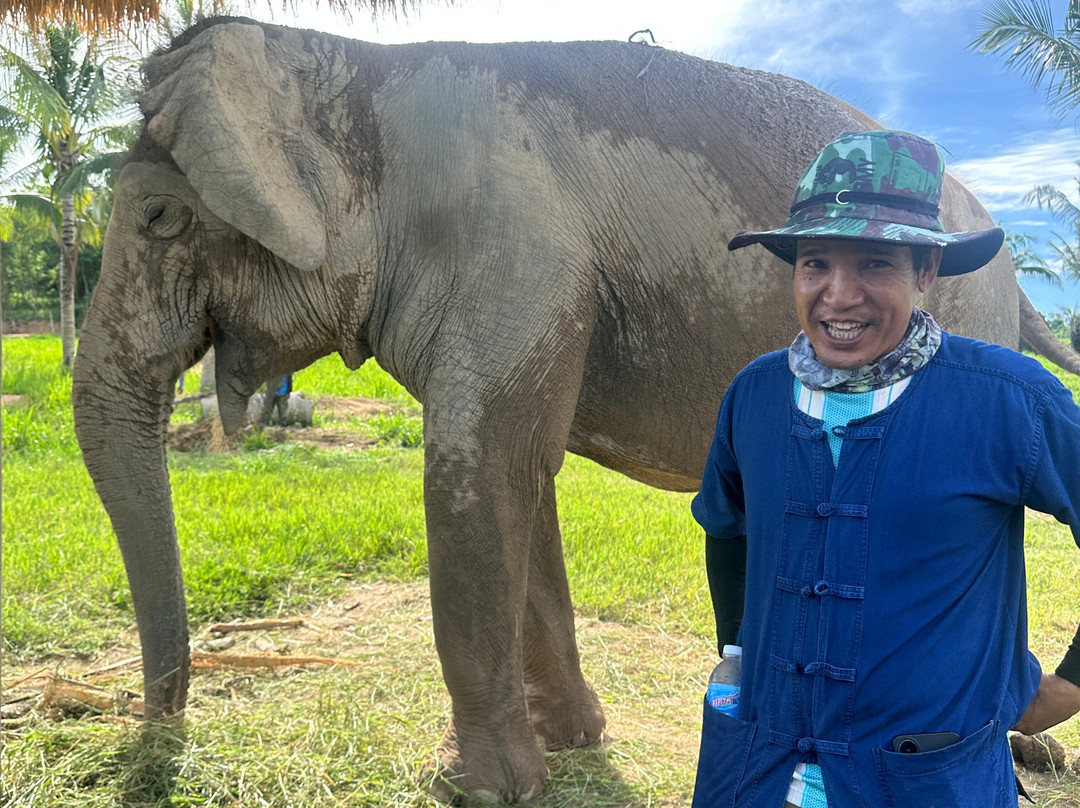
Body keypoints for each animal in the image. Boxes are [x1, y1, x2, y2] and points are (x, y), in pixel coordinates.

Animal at [71, 17, 1080, 803]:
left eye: (159, 217)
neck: (352, 66)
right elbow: (523, 475)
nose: (150, 722)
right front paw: (569, 744)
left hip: (966, 309)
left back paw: (1012, 748)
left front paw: (474, 788)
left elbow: (478, 466)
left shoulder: (517, 248)